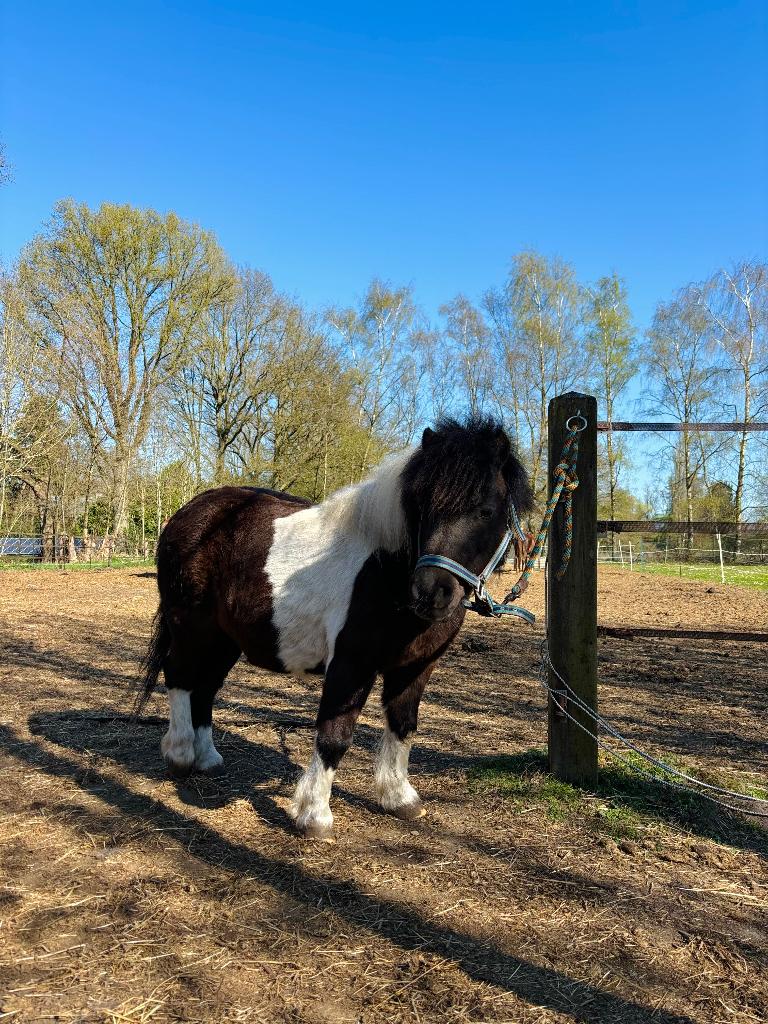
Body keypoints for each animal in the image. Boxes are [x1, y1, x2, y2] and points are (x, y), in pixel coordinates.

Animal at [136, 417, 533, 839]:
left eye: (486, 511)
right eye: (422, 507)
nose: (430, 592)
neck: (386, 572)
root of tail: (187, 514)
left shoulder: (415, 668)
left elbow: (403, 725)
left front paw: (400, 798)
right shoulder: (350, 665)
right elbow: (334, 736)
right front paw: (314, 815)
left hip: (223, 639)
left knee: (206, 686)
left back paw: (208, 758)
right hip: (190, 627)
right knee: (180, 676)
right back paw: (180, 755)